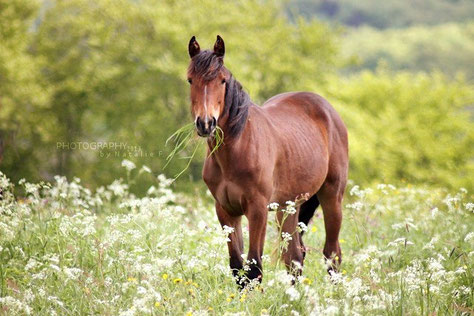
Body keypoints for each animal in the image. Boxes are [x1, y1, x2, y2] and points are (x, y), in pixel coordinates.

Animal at [186, 35, 348, 286]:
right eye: (190, 80)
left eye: (222, 81)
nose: (205, 123)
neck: (236, 150)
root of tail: (328, 110)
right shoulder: (226, 211)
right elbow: (238, 267)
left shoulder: (257, 209)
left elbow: (254, 268)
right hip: (289, 208)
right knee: (295, 257)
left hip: (332, 197)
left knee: (332, 254)